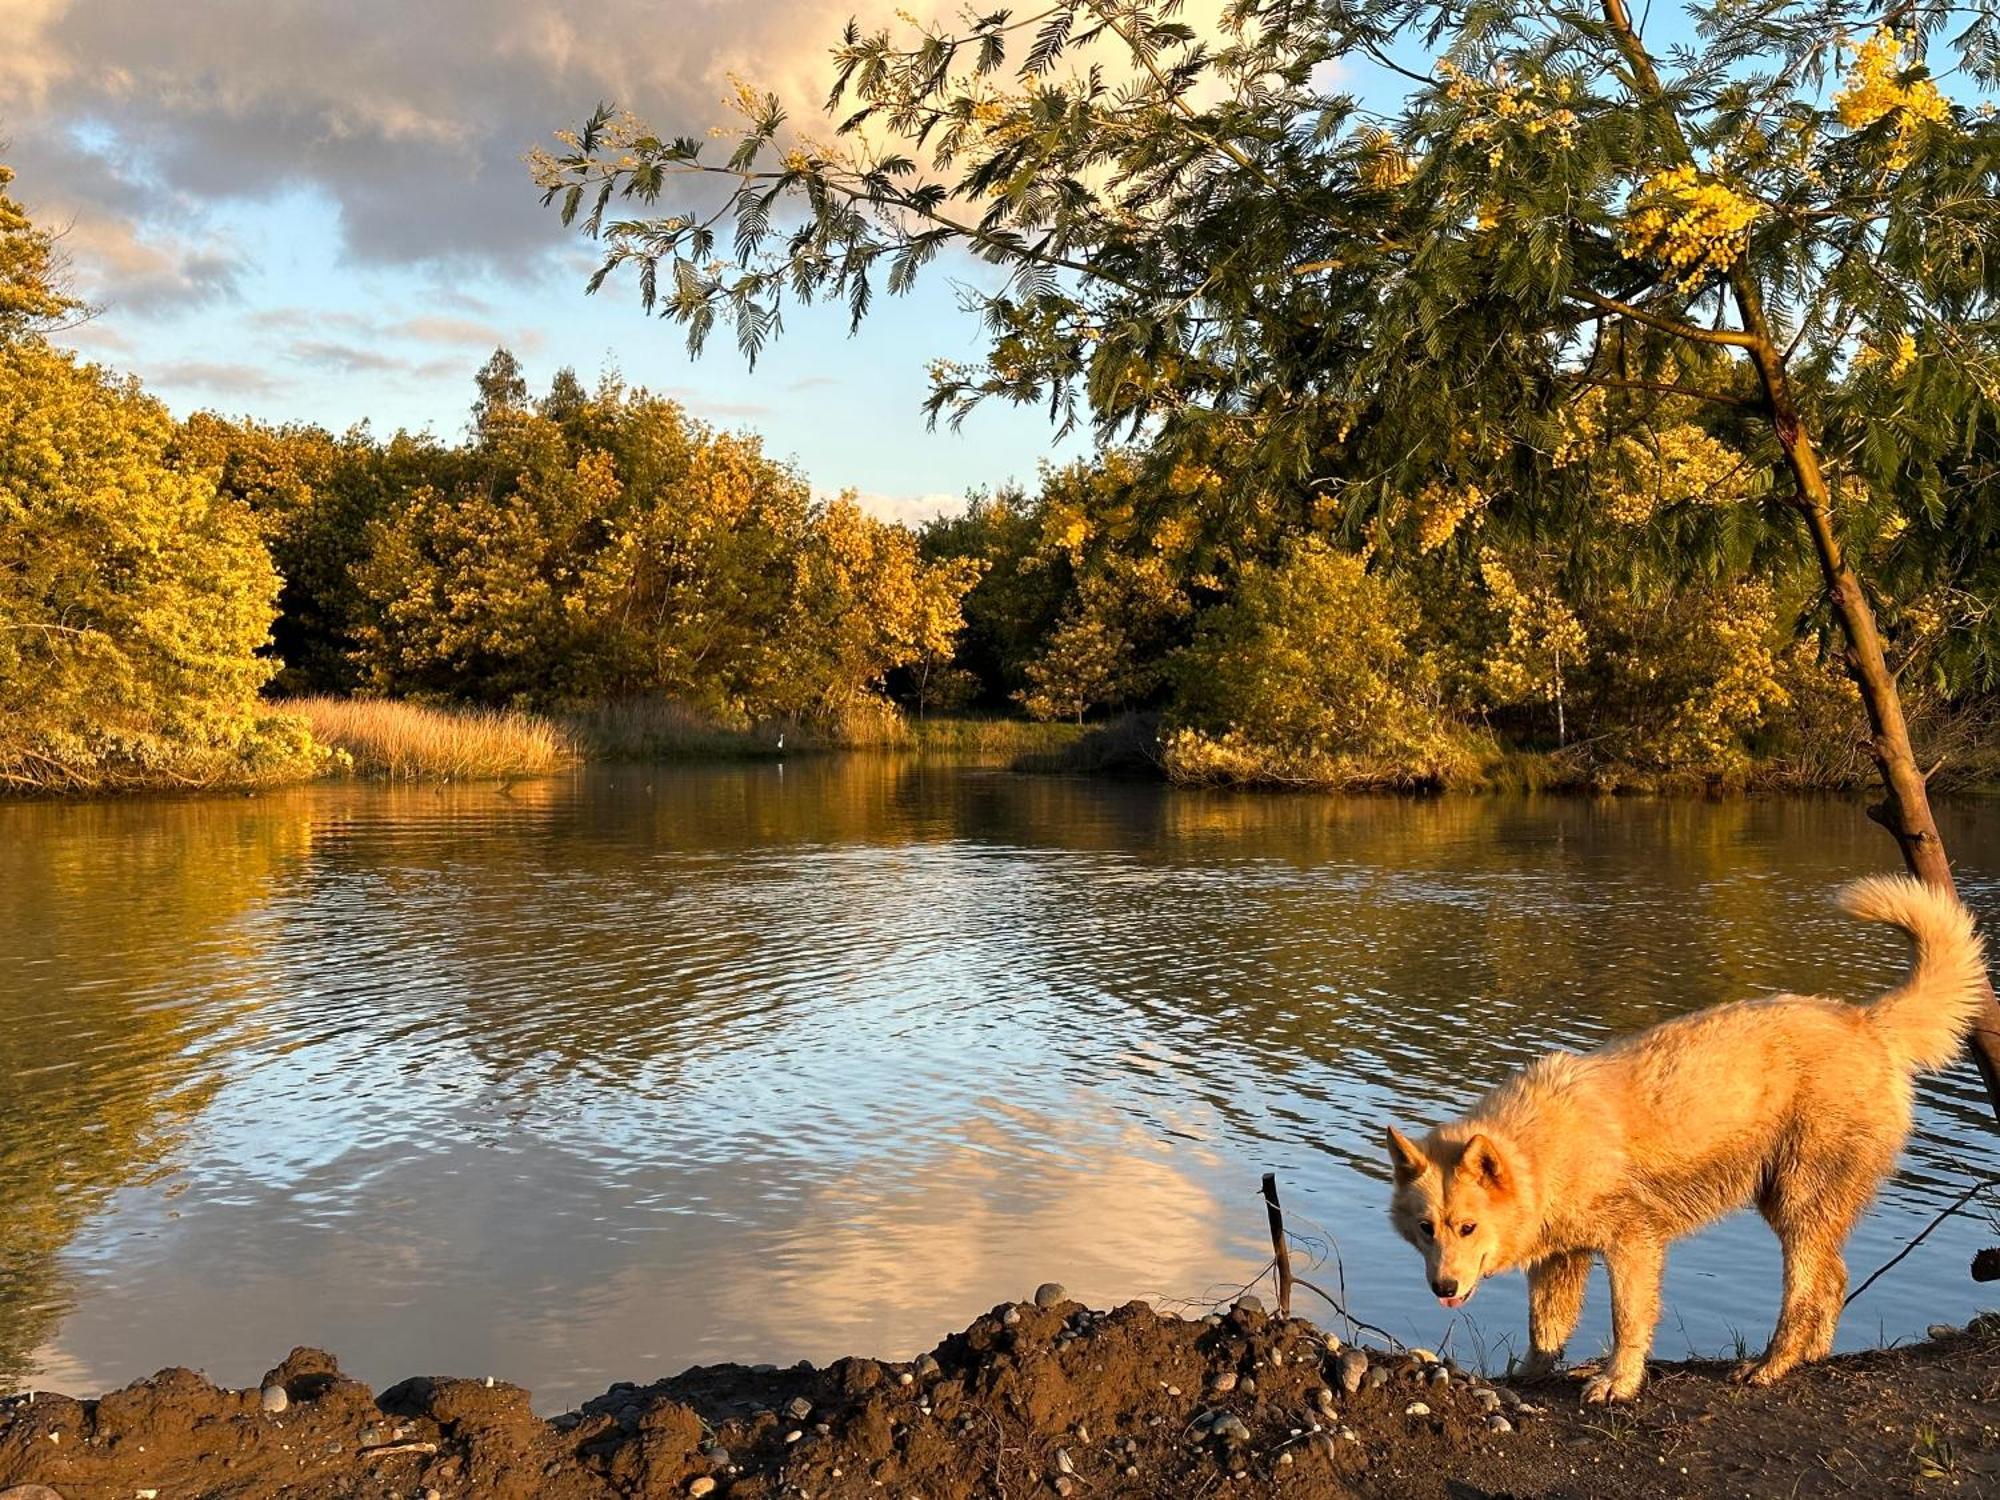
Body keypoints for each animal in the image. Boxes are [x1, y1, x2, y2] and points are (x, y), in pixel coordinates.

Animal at [1392, 876, 1984, 1408]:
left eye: (1468, 1227)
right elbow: (1546, 1326)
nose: (1443, 1288)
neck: (1541, 1149)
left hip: (1800, 1204)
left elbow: (1627, 1319)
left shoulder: (1632, 1244)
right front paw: (1529, 1374)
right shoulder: (1562, 1258)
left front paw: (1618, 1382)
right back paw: (1811, 1356)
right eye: (1426, 1229)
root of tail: (1866, 1022)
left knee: (1804, 1294)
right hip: (1788, 1205)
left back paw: (1771, 1365)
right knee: (1834, 1278)